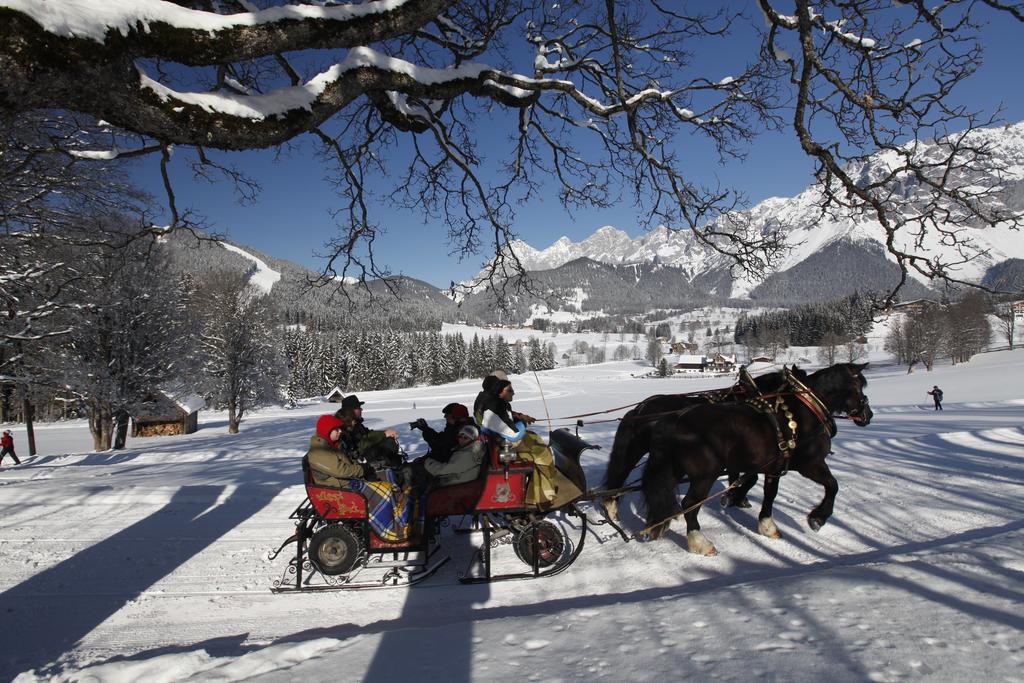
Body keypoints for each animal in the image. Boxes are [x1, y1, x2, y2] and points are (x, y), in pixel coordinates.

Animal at [643, 362, 868, 557]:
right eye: (859, 386)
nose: (868, 415)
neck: (804, 412)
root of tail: (676, 419)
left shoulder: (773, 467)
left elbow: (769, 494)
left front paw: (766, 524)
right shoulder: (811, 464)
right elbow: (833, 485)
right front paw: (818, 518)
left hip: (676, 470)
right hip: (704, 476)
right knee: (689, 504)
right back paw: (700, 543)